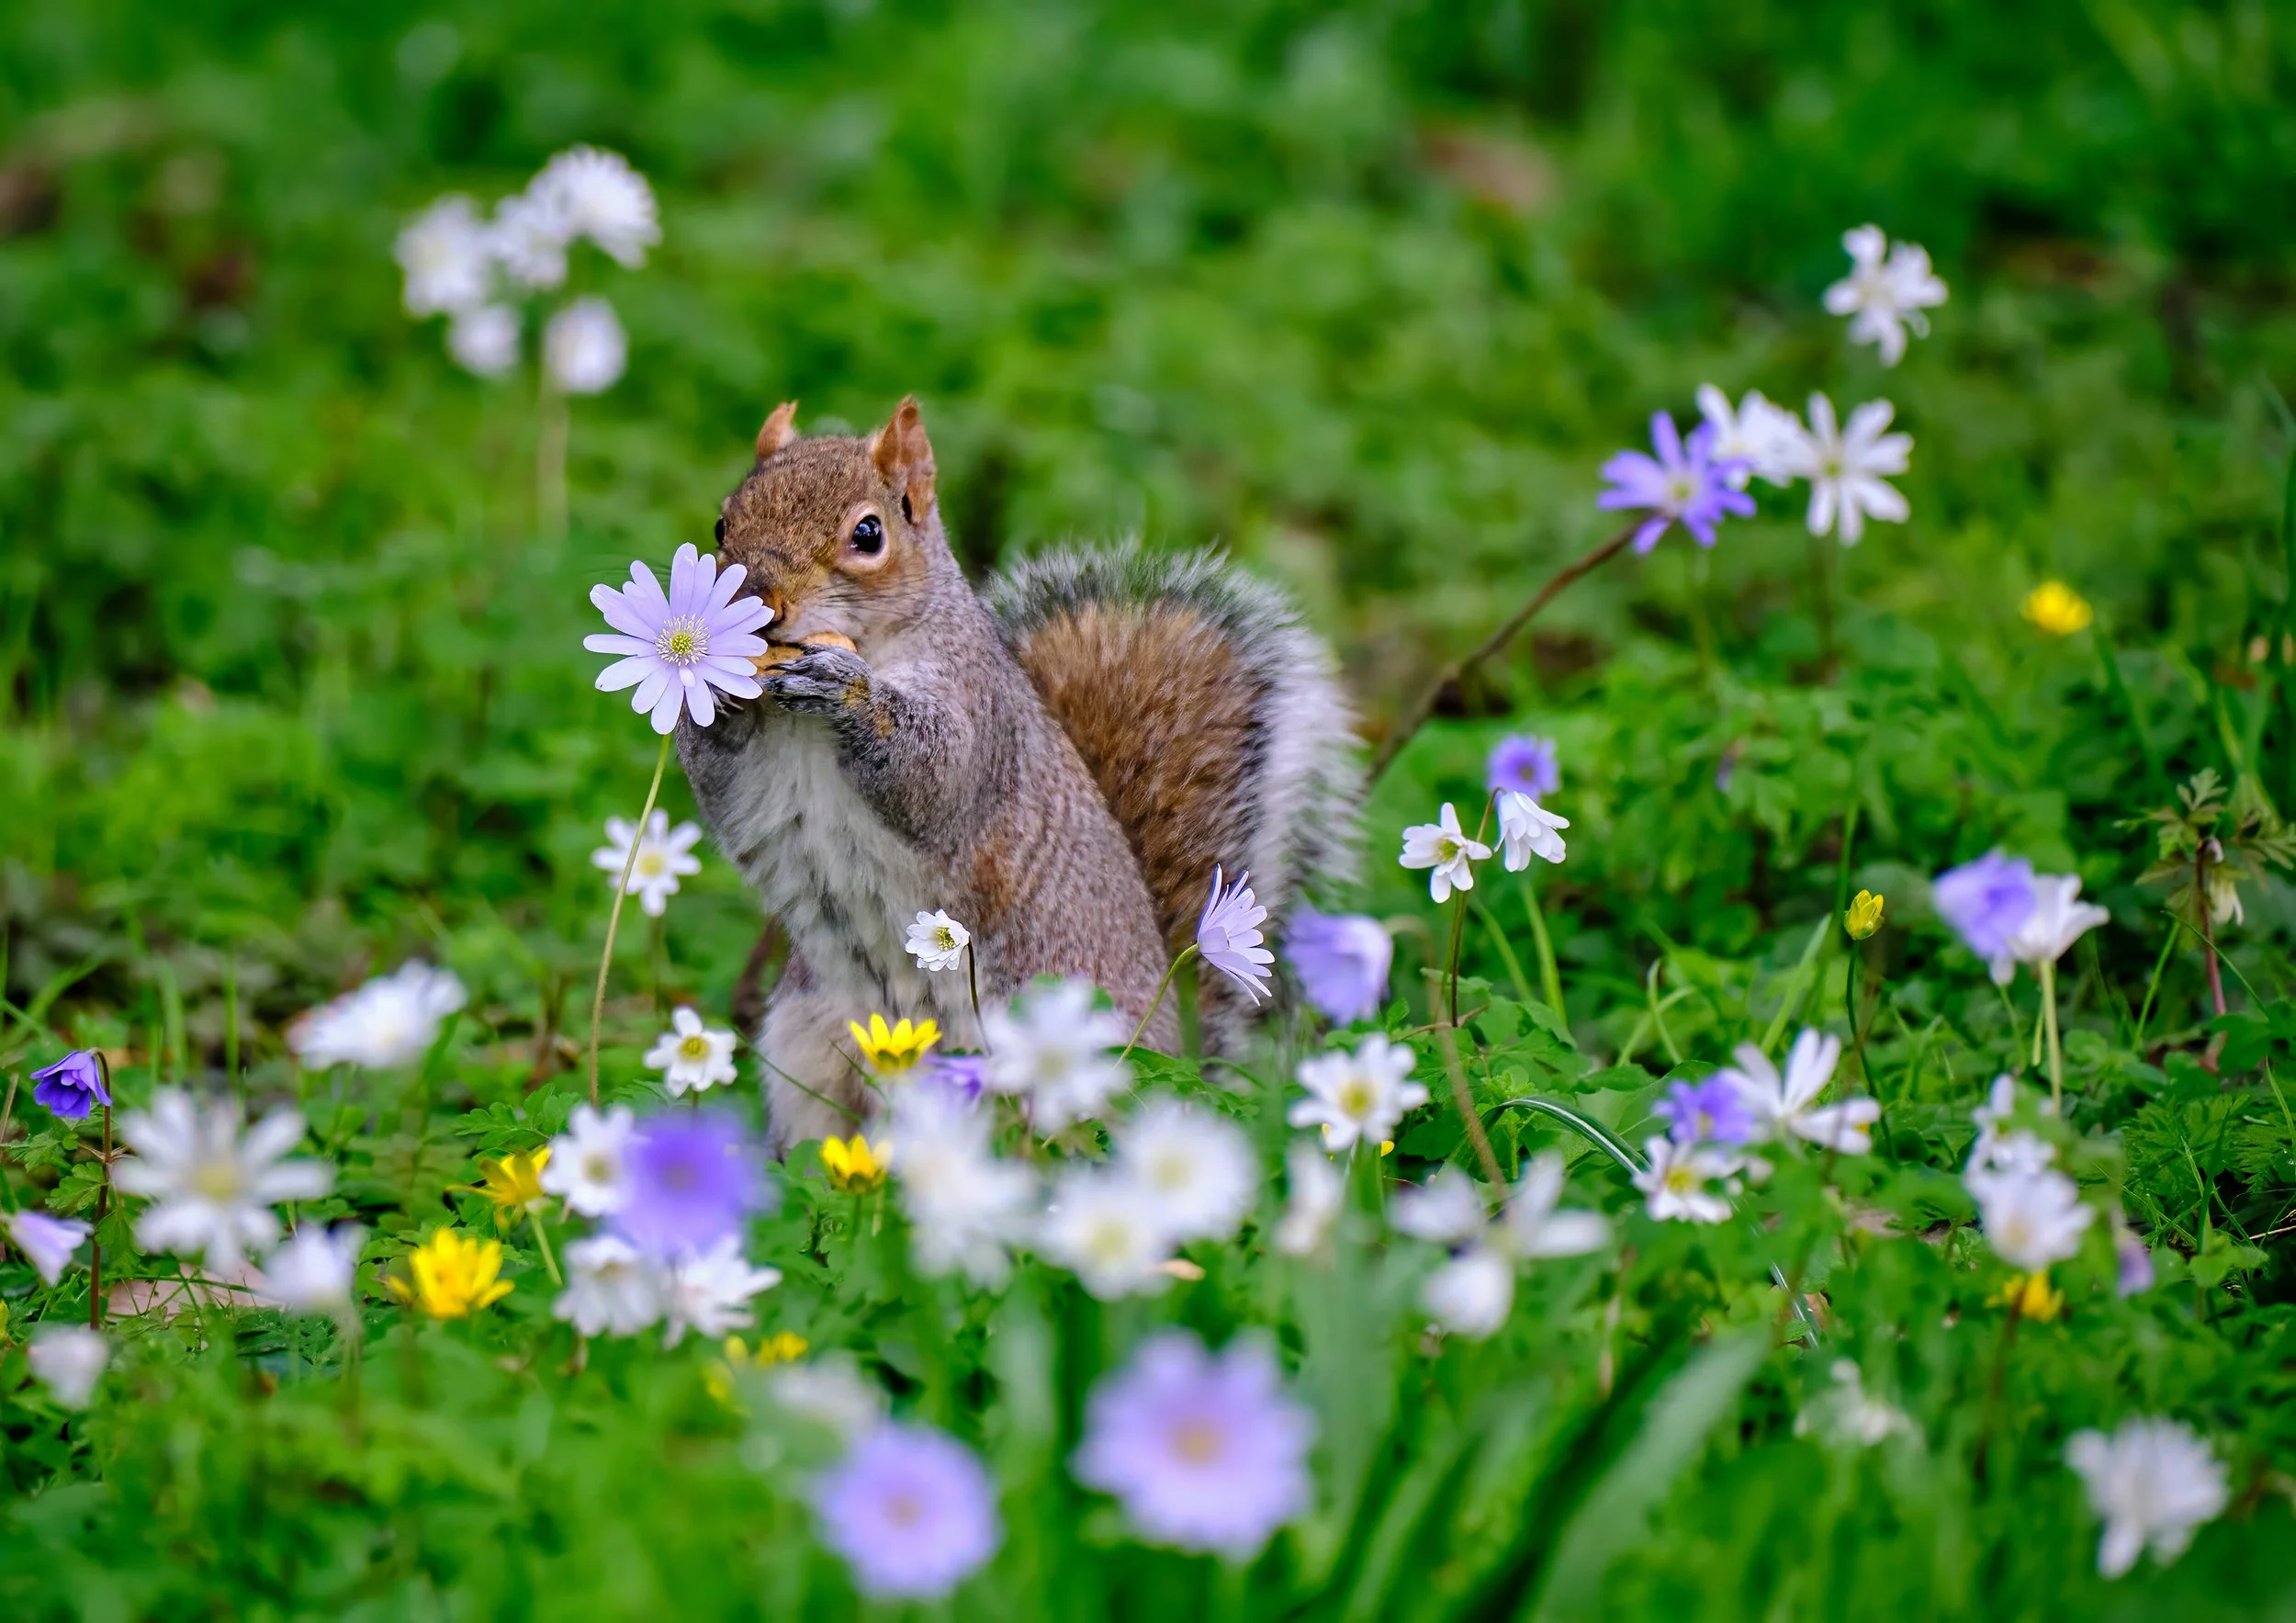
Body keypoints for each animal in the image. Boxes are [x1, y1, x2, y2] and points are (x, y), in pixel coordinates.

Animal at [677, 396, 1359, 1151]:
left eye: (868, 533)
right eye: (722, 522)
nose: (757, 604)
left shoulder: (980, 718)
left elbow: (934, 776)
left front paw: (846, 690)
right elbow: (719, 786)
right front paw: (714, 683)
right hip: (804, 1042)